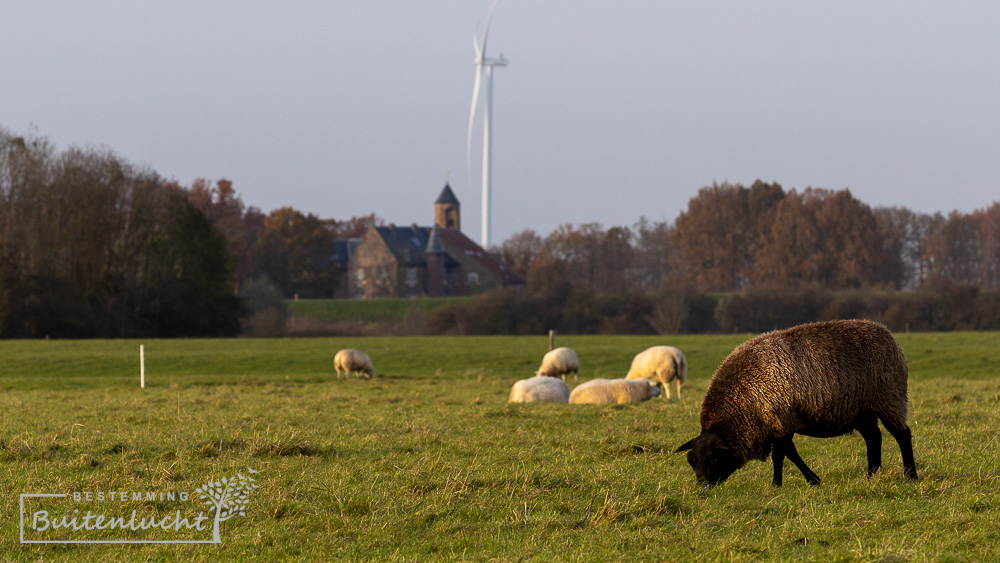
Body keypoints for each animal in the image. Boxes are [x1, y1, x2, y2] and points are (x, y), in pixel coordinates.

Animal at [676, 320, 916, 486]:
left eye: (715, 460)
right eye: (691, 461)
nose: (703, 488)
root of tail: (887, 334)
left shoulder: (782, 420)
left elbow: (785, 455)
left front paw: (804, 481)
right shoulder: (775, 425)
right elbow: (783, 455)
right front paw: (782, 483)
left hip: (889, 399)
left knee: (903, 435)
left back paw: (910, 475)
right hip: (863, 410)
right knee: (874, 438)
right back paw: (871, 475)